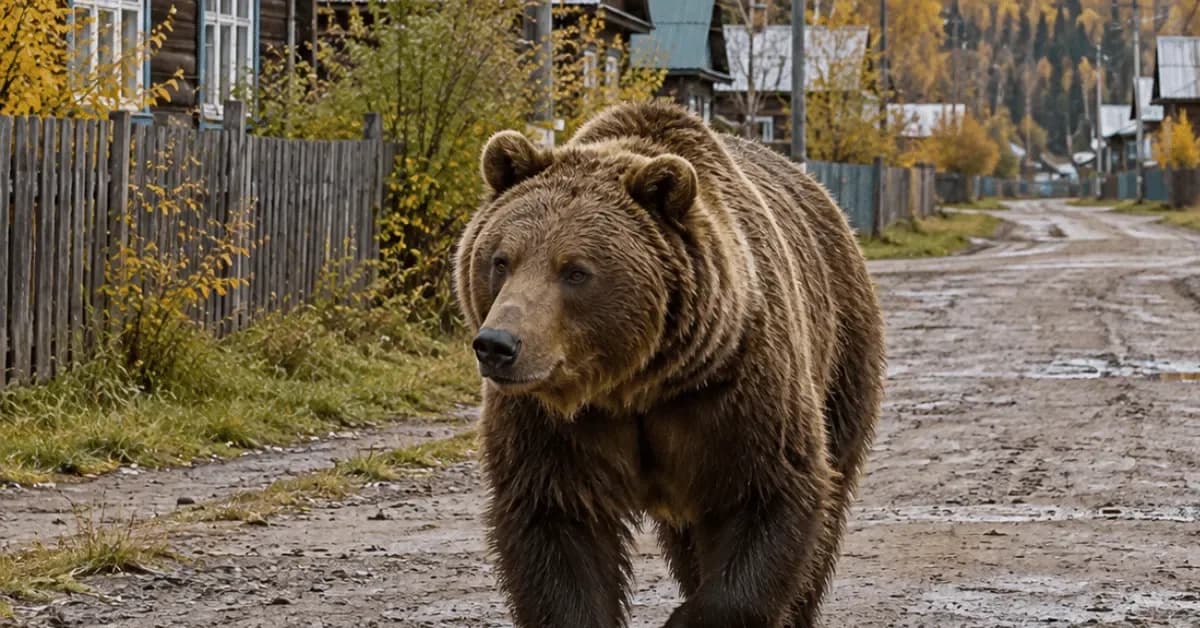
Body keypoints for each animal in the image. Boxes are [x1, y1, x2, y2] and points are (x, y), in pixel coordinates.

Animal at [453, 101, 885, 628]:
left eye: (575, 271)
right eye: (501, 260)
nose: (497, 344)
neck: (635, 385)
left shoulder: (734, 392)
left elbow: (769, 494)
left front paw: (689, 616)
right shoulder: (550, 427)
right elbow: (556, 528)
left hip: (842, 356)